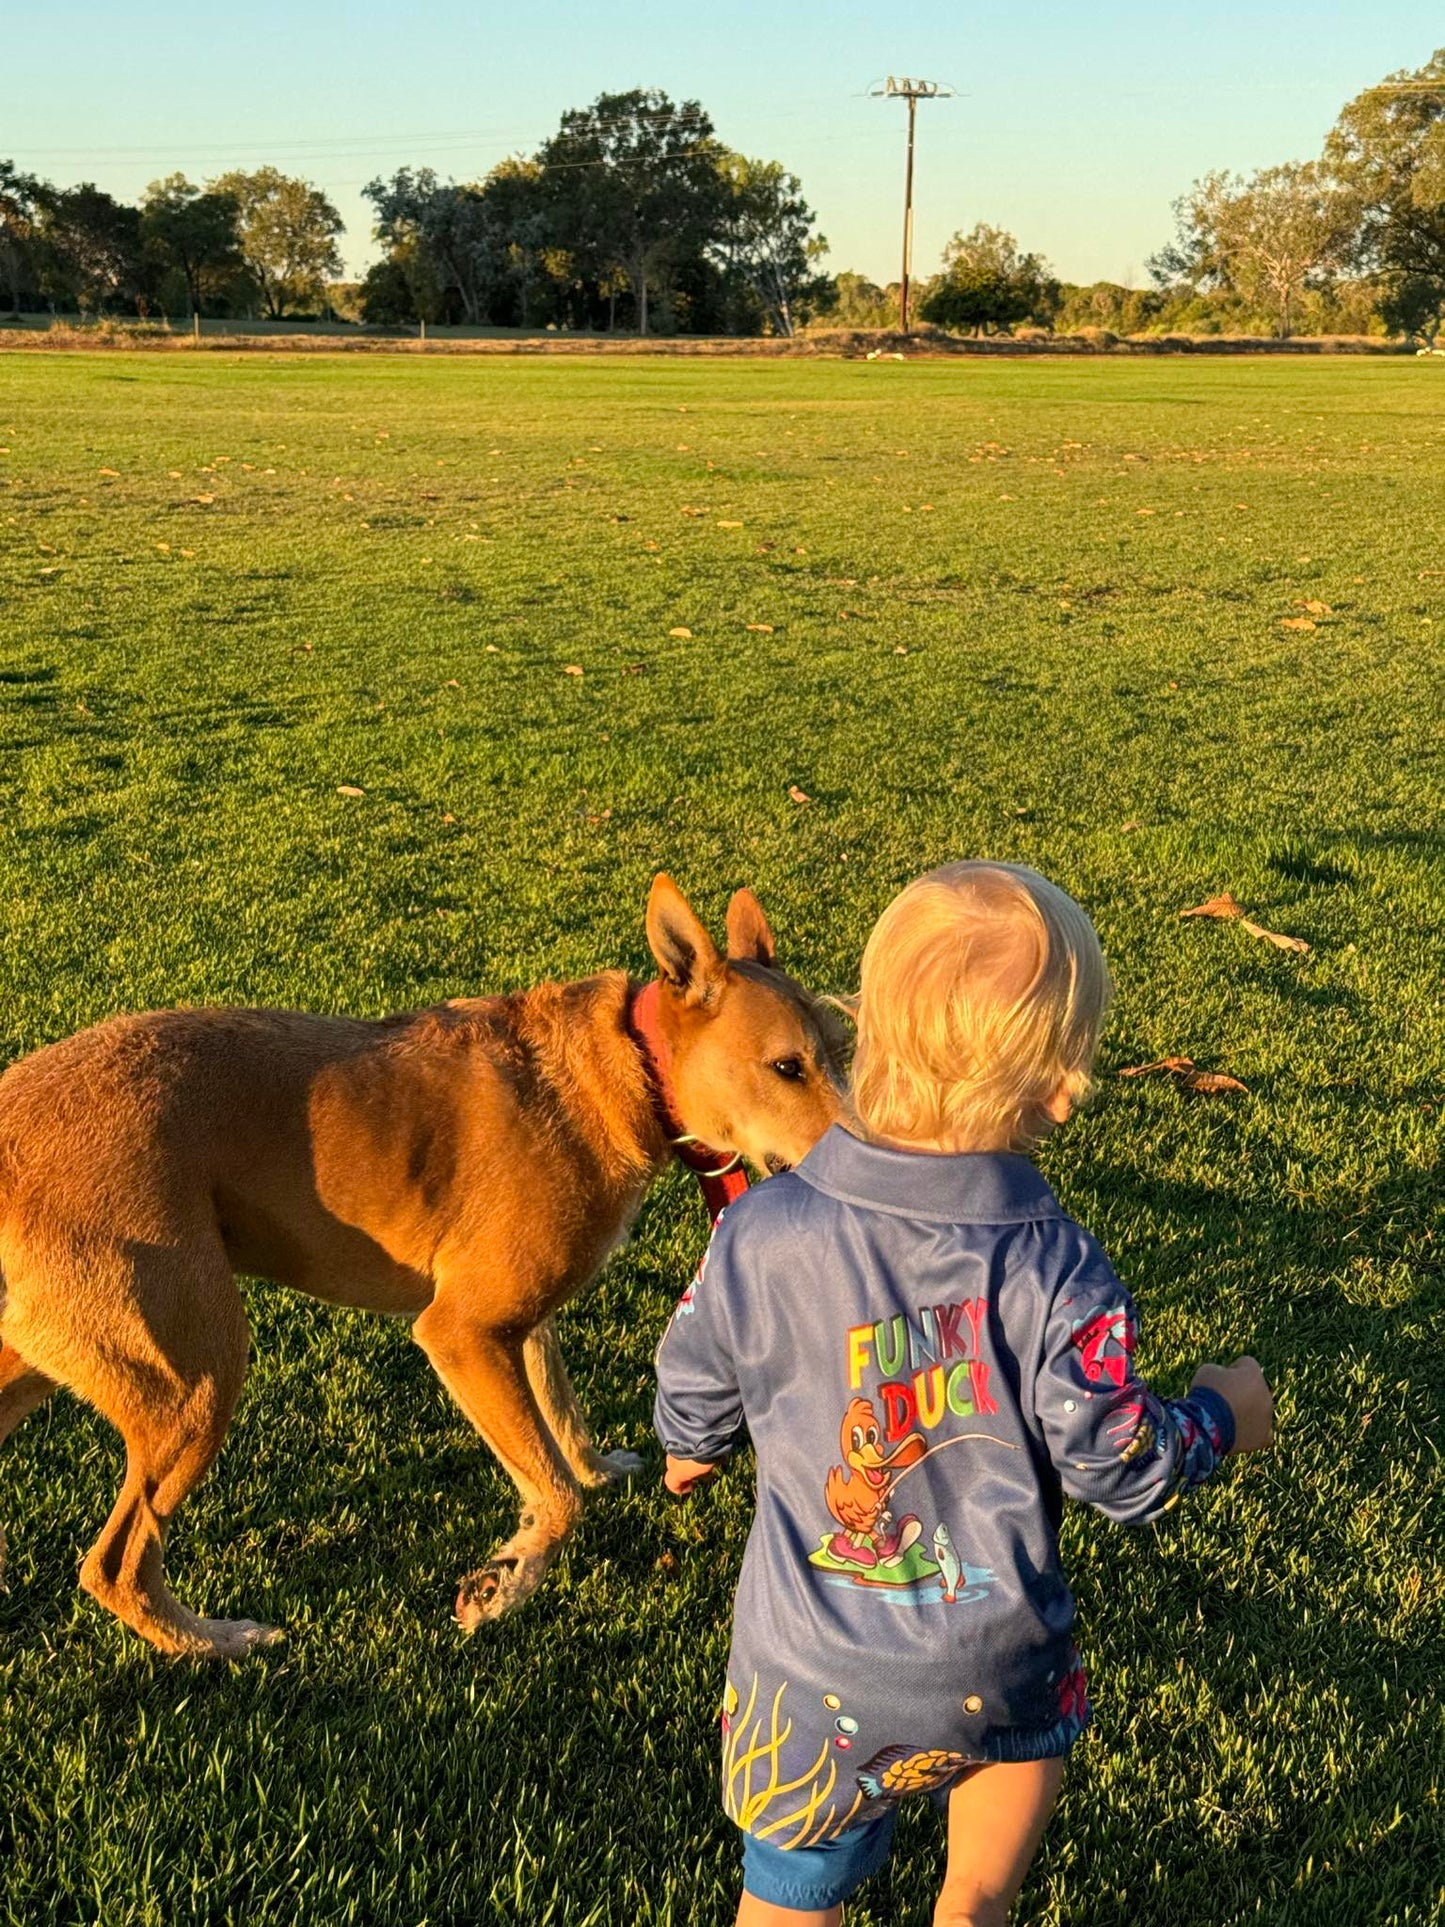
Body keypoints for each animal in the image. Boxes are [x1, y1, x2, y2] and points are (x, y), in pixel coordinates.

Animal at [0, 882, 847, 1657]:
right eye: (786, 1065)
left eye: (840, 1052)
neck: (625, 1067)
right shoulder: (460, 1331)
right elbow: (555, 1494)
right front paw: (504, 1581)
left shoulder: (521, 1324)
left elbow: (560, 1419)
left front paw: (596, 1468)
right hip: (195, 1380)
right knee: (116, 1564)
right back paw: (214, 1641)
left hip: (53, 1360)